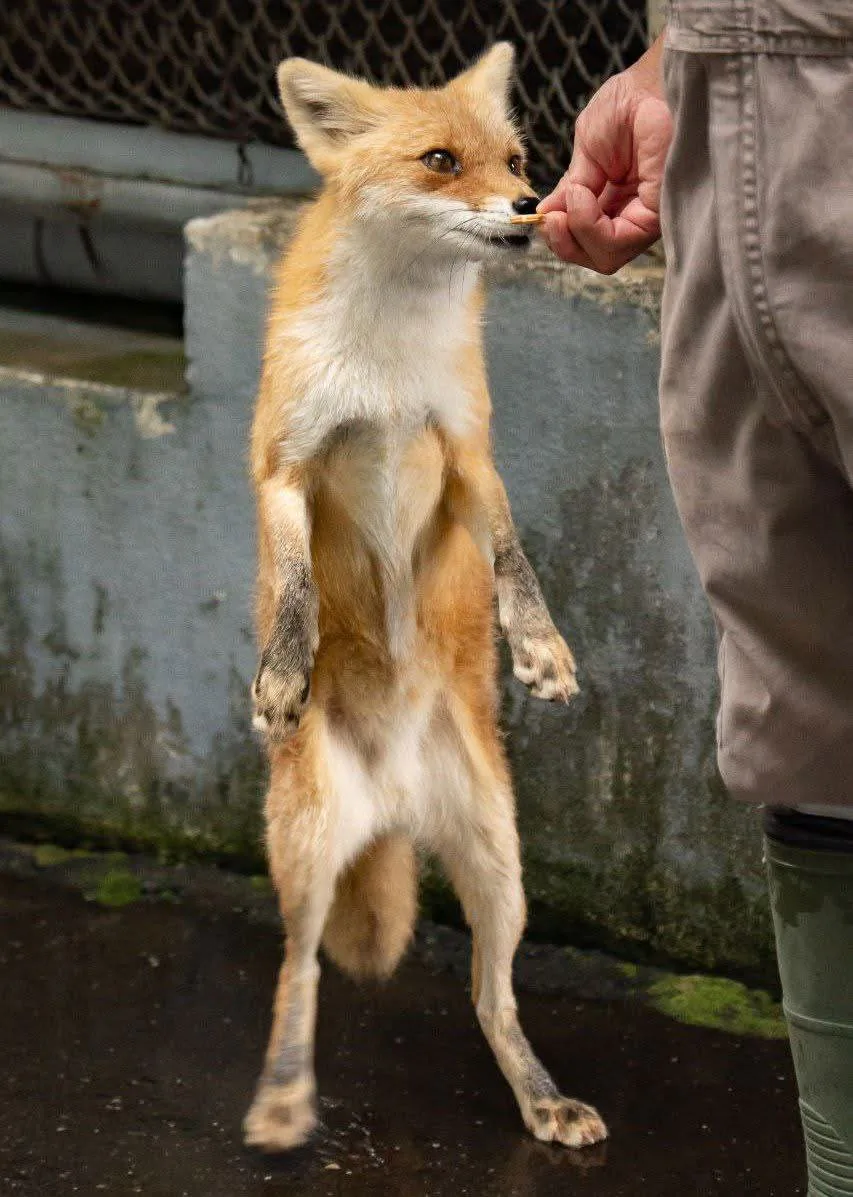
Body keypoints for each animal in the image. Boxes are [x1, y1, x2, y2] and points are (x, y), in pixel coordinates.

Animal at [244, 43, 607, 1153]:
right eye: (441, 160)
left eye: (516, 157)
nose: (531, 204)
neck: (389, 364)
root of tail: (396, 804)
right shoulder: (283, 464)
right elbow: (296, 586)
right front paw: (284, 672)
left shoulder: (465, 452)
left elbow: (513, 558)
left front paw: (541, 651)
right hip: (307, 851)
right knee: (299, 971)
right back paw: (281, 1100)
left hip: (501, 867)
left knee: (491, 1000)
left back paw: (540, 1096)